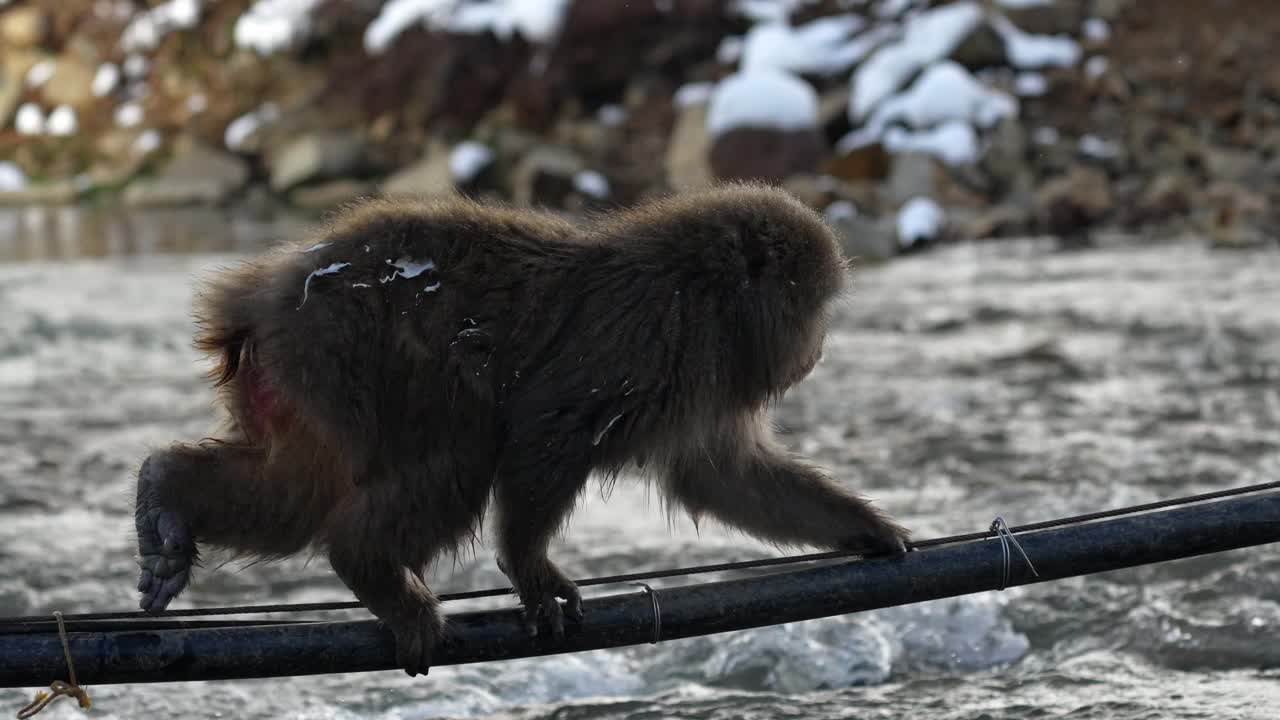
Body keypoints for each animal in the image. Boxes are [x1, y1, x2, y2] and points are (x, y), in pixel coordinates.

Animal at [132, 182, 911, 677]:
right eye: (813, 306)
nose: (815, 351)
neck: (705, 291)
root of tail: (263, 294)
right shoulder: (648, 332)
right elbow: (549, 431)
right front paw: (529, 568)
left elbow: (720, 476)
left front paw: (866, 529)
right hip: (345, 349)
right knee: (455, 456)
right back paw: (369, 565)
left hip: (303, 380)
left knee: (294, 492)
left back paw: (167, 497)